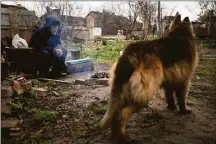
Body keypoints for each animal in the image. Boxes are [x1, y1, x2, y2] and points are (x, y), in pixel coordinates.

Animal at [99, 13, 199, 144]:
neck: (180, 34)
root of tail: (130, 53)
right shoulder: (185, 81)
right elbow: (182, 98)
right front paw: (183, 110)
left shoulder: (170, 82)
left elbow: (169, 95)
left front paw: (171, 107)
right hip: (145, 93)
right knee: (121, 114)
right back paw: (122, 137)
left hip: (122, 90)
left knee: (117, 111)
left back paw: (115, 135)